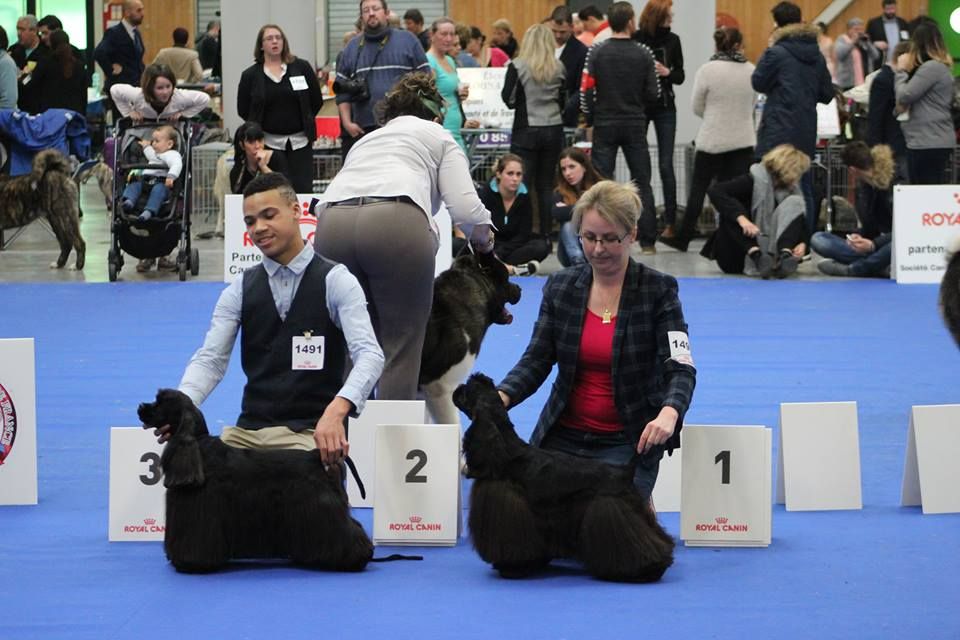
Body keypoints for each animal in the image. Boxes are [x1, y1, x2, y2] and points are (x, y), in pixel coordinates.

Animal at [137, 390, 374, 576]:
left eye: (160, 402)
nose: (140, 407)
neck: (199, 447)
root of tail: (316, 455)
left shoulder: (200, 513)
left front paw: (190, 563)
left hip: (321, 507)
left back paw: (355, 559)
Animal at [452, 372, 672, 584]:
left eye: (467, 390)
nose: (456, 389)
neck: (507, 451)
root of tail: (625, 470)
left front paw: (512, 568)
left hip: (612, 509)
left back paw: (647, 570)